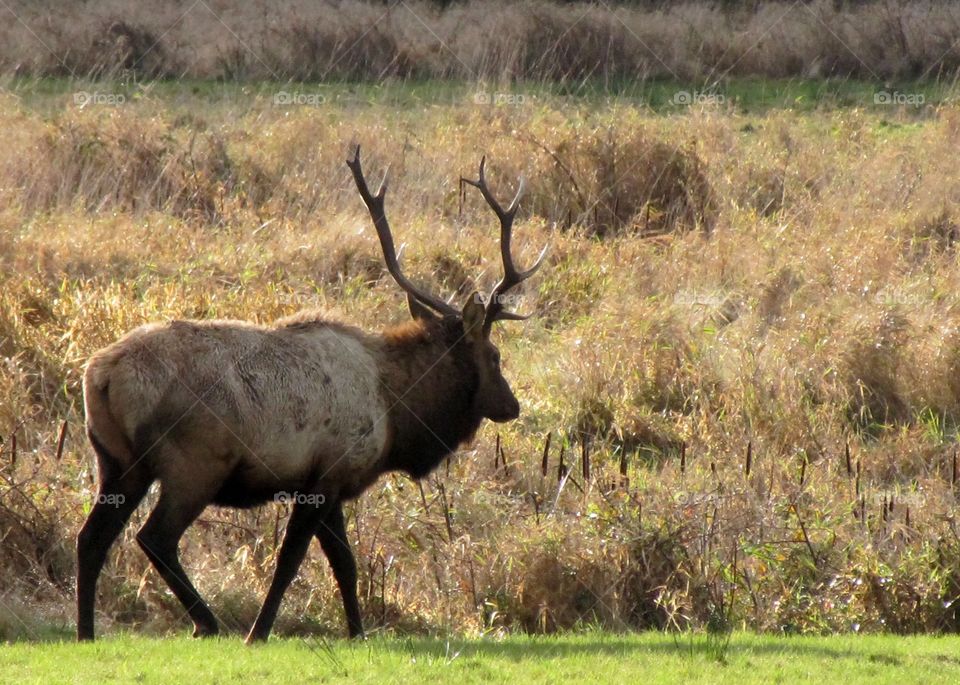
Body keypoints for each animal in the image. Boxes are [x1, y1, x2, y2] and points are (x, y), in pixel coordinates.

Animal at [76, 146, 546, 643]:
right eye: (494, 356)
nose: (512, 406)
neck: (396, 411)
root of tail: (101, 375)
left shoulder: (328, 484)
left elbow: (346, 564)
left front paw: (357, 632)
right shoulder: (328, 475)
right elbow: (292, 561)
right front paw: (260, 632)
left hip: (117, 461)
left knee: (91, 538)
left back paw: (86, 631)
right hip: (193, 463)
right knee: (155, 537)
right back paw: (207, 622)